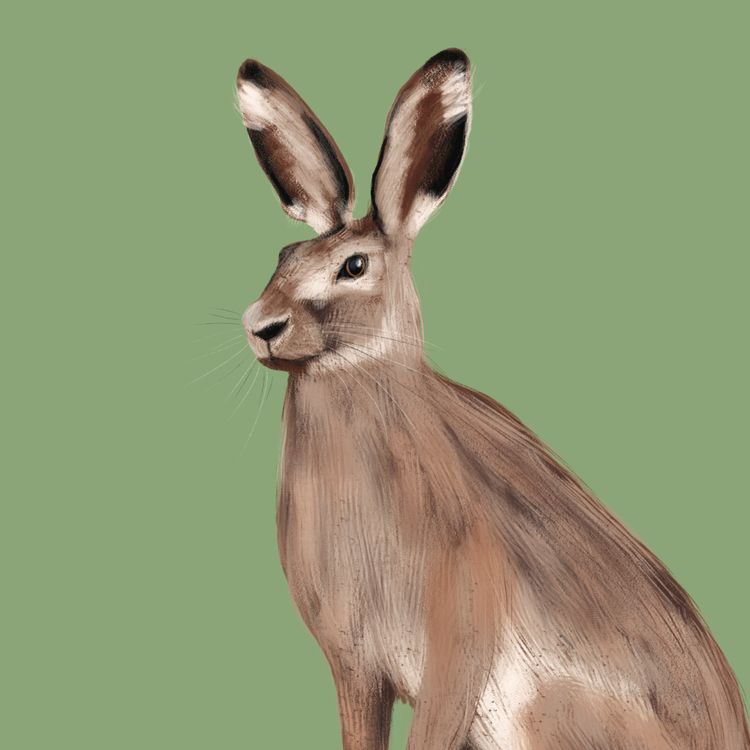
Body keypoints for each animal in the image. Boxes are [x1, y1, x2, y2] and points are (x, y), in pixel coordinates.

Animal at [234, 49, 749, 750]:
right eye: (284, 254)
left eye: (355, 266)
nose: (260, 325)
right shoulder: (355, 669)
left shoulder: (458, 650)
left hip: (542, 715)